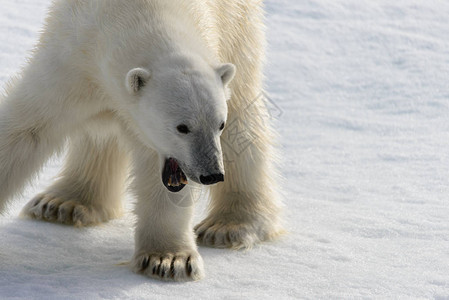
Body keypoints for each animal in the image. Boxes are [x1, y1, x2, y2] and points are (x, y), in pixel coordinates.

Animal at [0, 0, 282, 282]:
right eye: (182, 127)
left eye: (218, 124)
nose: (211, 174)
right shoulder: (71, 58)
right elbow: (27, 128)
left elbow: (158, 175)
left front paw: (168, 260)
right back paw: (63, 203)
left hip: (240, 29)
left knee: (242, 116)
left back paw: (228, 226)